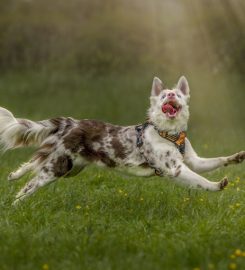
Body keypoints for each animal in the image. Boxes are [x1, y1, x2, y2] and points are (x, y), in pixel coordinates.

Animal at [0, 75, 244, 204]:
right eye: (163, 95)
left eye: (178, 94)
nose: (171, 95)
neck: (170, 134)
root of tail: (72, 122)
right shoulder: (176, 169)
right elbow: (202, 182)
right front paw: (217, 185)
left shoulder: (194, 161)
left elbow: (216, 160)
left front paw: (237, 157)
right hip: (57, 168)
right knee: (29, 185)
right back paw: (15, 205)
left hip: (70, 168)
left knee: (33, 163)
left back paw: (13, 176)